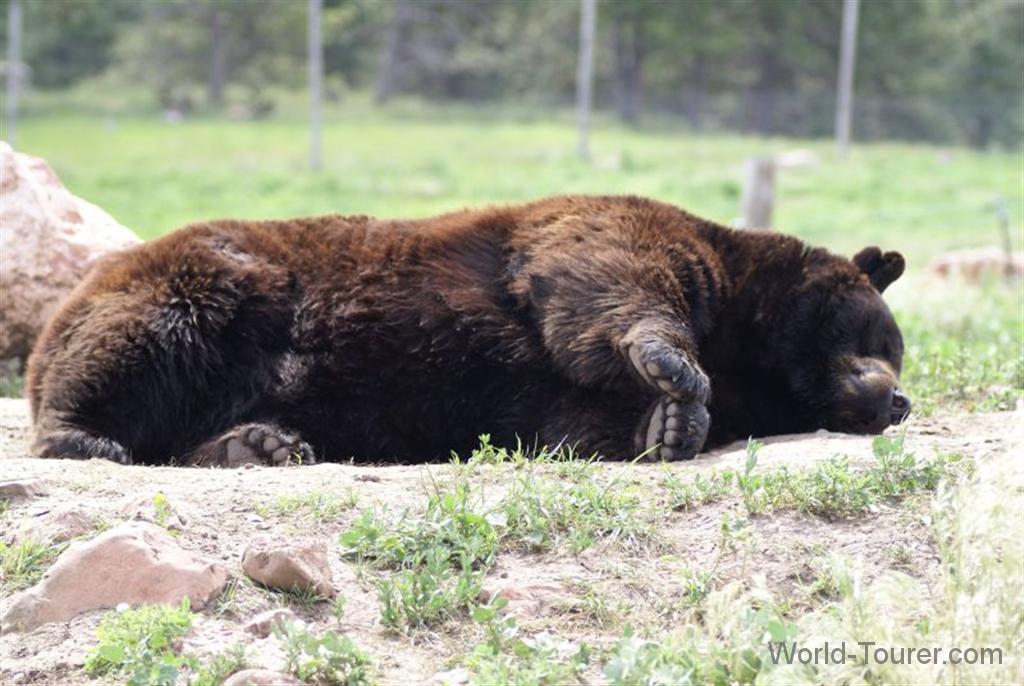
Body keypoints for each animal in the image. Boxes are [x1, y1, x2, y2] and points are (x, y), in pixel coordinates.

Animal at [25, 195, 911, 467]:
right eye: (885, 338)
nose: (897, 401)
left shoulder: (532, 398)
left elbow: (575, 420)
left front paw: (666, 424)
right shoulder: (616, 233)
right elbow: (608, 278)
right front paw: (676, 377)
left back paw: (261, 442)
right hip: (212, 289)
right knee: (143, 342)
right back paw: (86, 433)